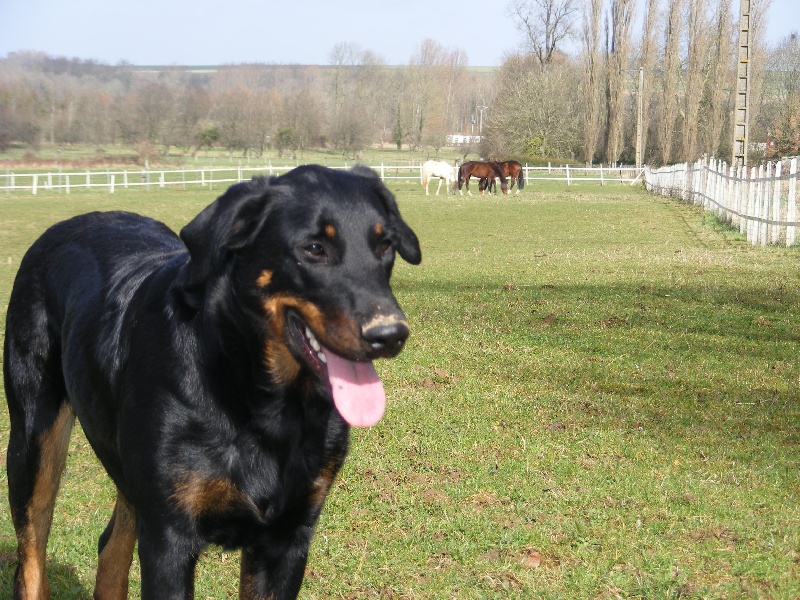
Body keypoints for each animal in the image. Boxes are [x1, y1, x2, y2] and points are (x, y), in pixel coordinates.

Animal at [3, 165, 422, 600]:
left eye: (385, 245)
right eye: (314, 248)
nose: (390, 334)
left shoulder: (287, 538)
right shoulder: (169, 539)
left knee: (111, 547)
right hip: (33, 442)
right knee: (31, 560)